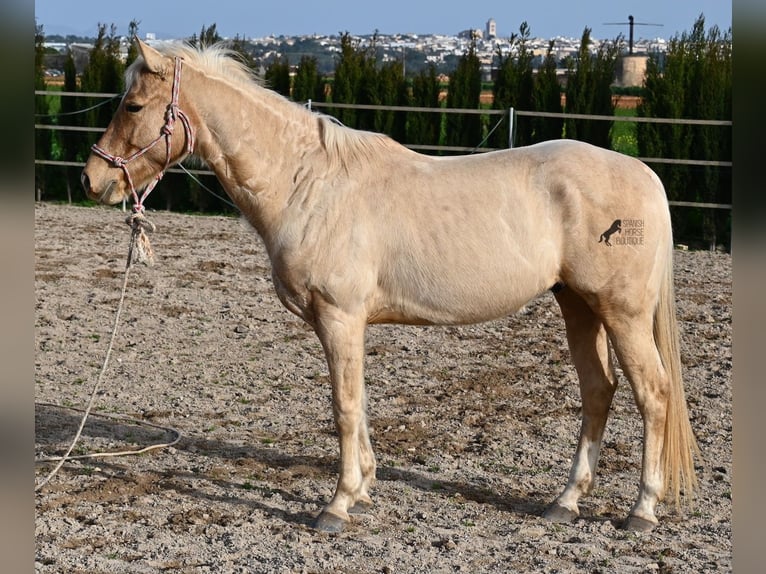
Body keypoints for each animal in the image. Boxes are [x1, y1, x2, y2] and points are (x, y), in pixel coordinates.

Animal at [81, 40, 700, 536]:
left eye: (133, 106)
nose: (93, 179)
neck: (309, 184)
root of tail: (646, 175)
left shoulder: (339, 317)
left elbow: (344, 407)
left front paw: (335, 506)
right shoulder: (345, 323)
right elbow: (358, 402)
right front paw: (363, 488)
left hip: (621, 313)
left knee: (654, 394)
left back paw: (641, 512)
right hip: (578, 306)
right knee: (599, 391)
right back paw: (565, 502)